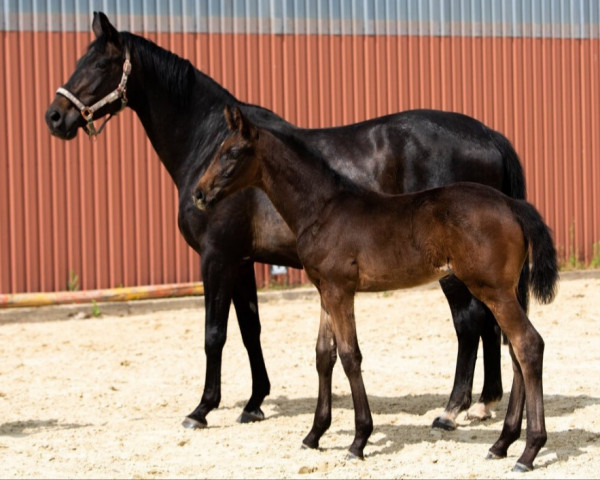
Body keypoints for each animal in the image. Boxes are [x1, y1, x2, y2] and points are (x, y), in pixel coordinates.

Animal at [195, 106, 560, 472]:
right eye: (218, 149)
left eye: (233, 152)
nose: (199, 193)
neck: (323, 208)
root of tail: (513, 206)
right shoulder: (325, 292)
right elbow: (323, 355)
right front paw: (314, 435)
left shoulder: (340, 291)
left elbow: (349, 356)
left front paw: (359, 440)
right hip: (505, 290)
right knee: (515, 351)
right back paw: (502, 443)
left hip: (492, 289)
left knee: (528, 345)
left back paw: (528, 451)